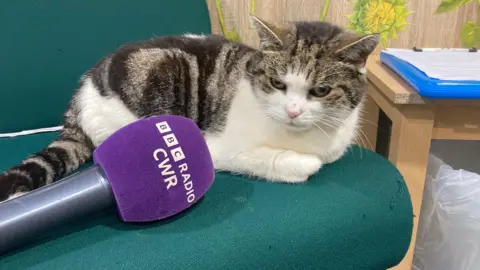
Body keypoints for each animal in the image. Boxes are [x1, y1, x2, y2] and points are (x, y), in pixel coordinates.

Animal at [0, 14, 378, 200]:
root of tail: (81, 97)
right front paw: (301, 163)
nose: (294, 111)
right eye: (277, 84)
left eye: (321, 90)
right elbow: (296, 164)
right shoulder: (217, 147)